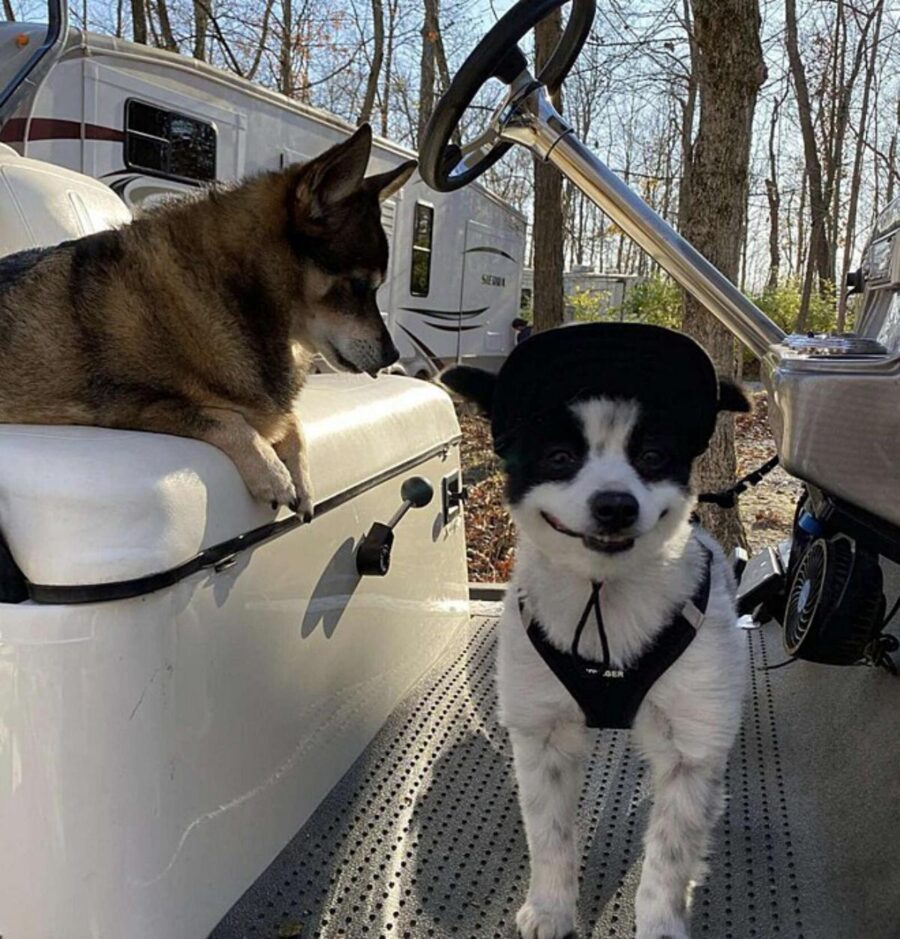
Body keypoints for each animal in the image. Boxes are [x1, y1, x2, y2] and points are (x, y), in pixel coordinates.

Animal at [0, 121, 414, 516]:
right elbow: (225, 419)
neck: (224, 288)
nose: (393, 357)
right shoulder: (136, 405)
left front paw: (301, 475)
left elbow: (292, 424)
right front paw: (272, 472)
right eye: (360, 286)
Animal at [442, 324, 752, 939]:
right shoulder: (541, 734)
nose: (615, 505)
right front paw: (551, 907)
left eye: (653, 457)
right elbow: (550, 838)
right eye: (560, 458)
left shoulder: (691, 747)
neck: (605, 596)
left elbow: (668, 858)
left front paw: (661, 923)